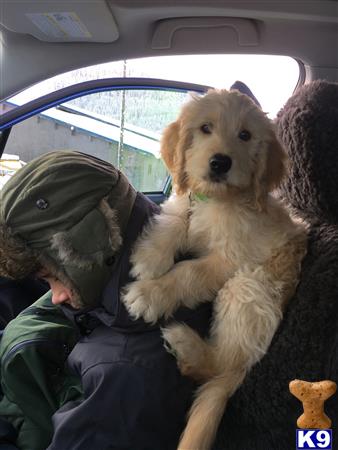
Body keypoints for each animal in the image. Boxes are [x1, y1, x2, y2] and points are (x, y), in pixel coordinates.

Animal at [123, 89, 306, 450]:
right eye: (205, 128)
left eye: (245, 135)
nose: (221, 162)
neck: (218, 200)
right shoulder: (187, 202)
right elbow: (175, 221)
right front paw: (150, 257)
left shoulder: (231, 259)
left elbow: (187, 272)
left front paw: (150, 295)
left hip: (247, 288)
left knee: (219, 365)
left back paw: (187, 345)